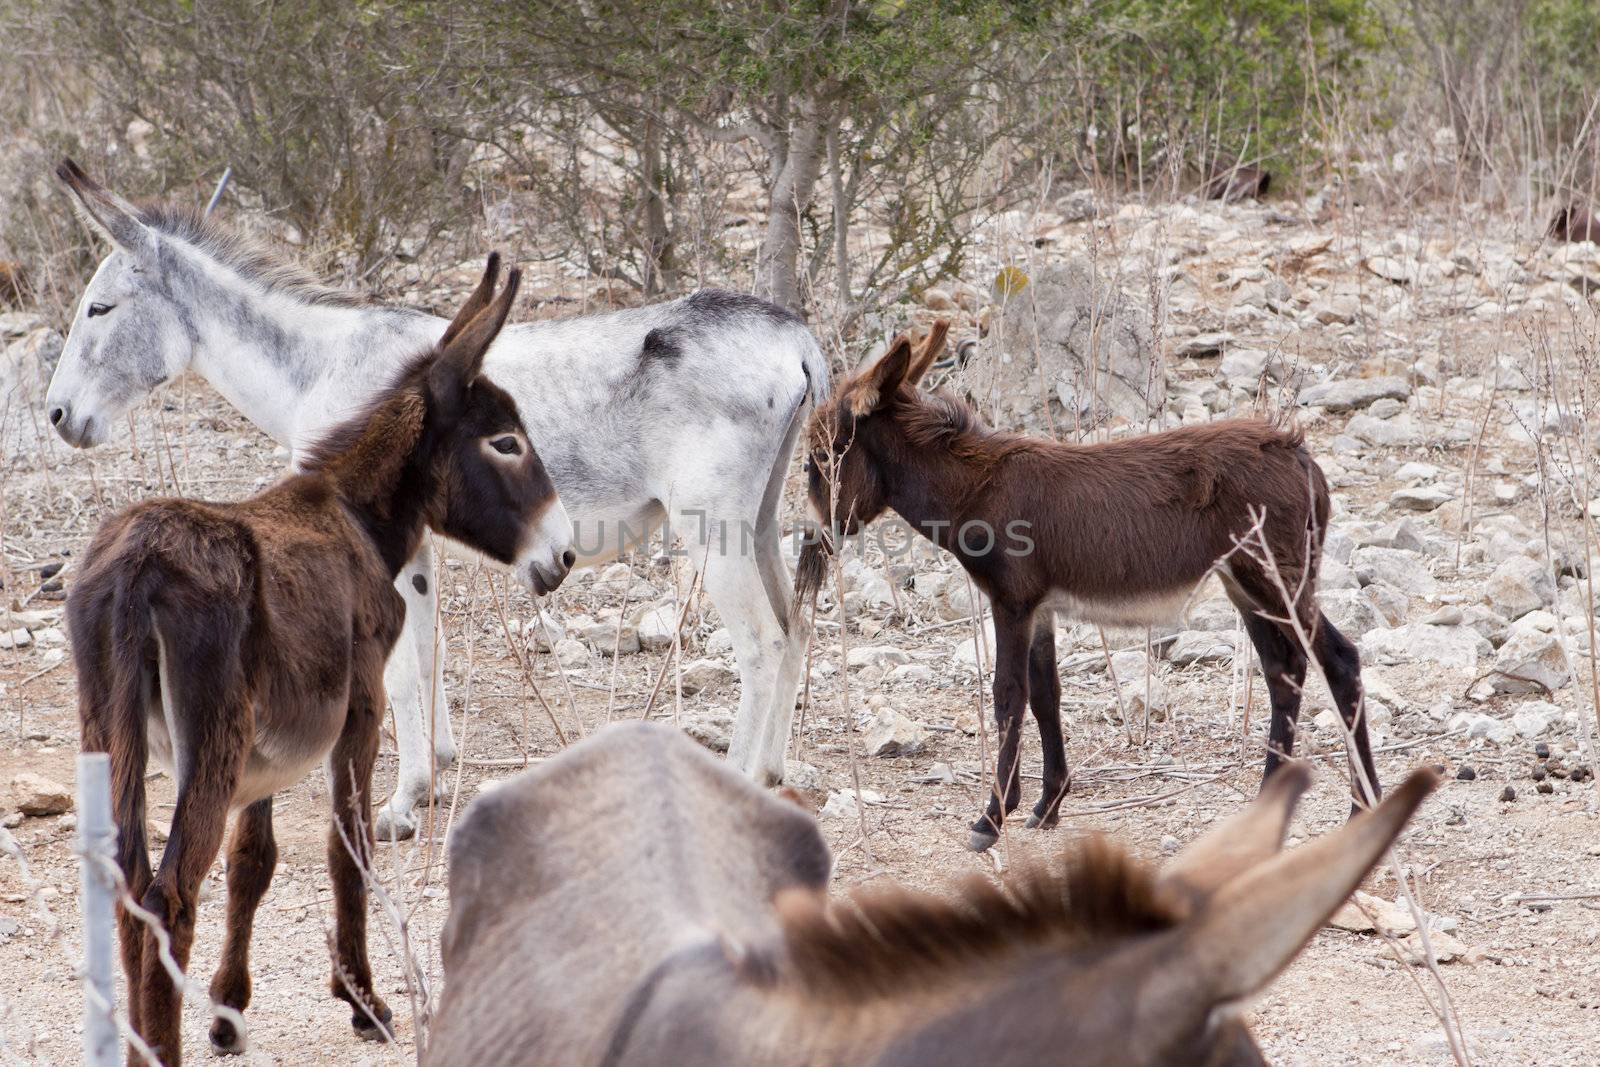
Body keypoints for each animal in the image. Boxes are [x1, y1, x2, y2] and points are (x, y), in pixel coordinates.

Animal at [67, 255, 576, 1062]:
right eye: (506, 442)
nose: (563, 555)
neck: (356, 514)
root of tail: (138, 569)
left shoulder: (267, 754)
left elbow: (253, 861)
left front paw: (228, 1012)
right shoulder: (360, 712)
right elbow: (350, 848)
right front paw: (365, 1002)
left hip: (113, 731)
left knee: (129, 886)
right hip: (209, 740)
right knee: (169, 895)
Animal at [806, 323, 1382, 851]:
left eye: (824, 456)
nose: (816, 540)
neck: (975, 487)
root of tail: (1298, 453)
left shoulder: (1011, 601)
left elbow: (1008, 694)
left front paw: (991, 818)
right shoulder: (1040, 606)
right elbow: (1046, 694)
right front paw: (1048, 804)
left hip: (1276, 577)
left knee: (1340, 660)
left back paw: (1362, 809)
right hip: (1242, 583)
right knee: (1283, 670)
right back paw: (1268, 807)